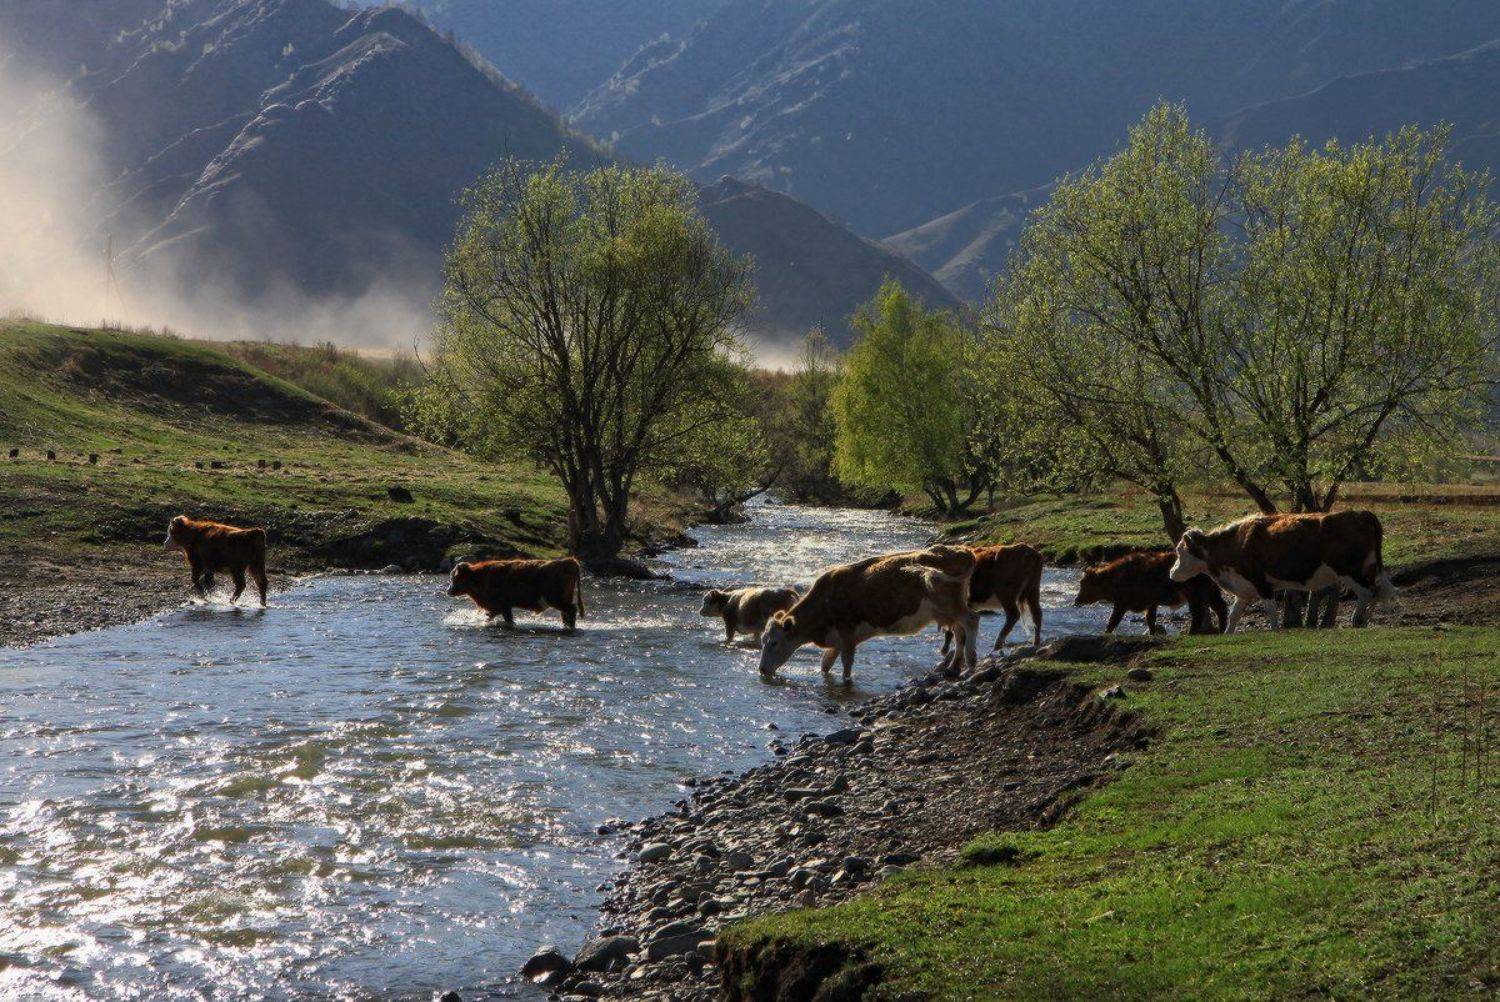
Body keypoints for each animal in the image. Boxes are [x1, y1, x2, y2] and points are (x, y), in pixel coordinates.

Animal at [447, 557, 586, 631]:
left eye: (453, 578)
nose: (448, 591)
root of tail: (569, 561)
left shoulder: (501, 605)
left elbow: (502, 619)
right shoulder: (502, 607)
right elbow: (495, 617)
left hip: (556, 599)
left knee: (571, 610)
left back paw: (571, 628)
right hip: (562, 599)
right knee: (565, 614)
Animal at [758, 544, 976, 683]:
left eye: (774, 643)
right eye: (763, 640)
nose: (761, 669)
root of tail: (962, 550)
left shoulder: (847, 634)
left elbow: (846, 665)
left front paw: (846, 681)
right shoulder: (836, 639)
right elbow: (825, 665)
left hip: (950, 606)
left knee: (971, 620)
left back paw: (971, 666)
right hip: (948, 611)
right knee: (960, 633)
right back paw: (953, 667)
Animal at [1074, 550, 1226, 635]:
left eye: (1083, 584)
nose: (1076, 600)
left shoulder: (1123, 601)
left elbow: (1114, 619)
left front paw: (1105, 632)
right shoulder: (1150, 601)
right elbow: (1150, 619)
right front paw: (1152, 633)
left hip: (1194, 591)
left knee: (1199, 612)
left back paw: (1191, 632)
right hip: (1210, 588)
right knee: (1220, 606)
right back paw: (1221, 629)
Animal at [1169, 511, 1397, 632]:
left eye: (1180, 551)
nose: (1172, 573)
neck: (1236, 543)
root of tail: (1361, 514)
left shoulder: (1261, 583)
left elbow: (1270, 609)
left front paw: (1275, 630)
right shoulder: (1246, 588)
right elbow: (1234, 615)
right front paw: (1227, 633)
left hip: (1349, 571)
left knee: (1367, 593)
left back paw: (1357, 620)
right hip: (1368, 568)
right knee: (1377, 592)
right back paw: (1365, 620)